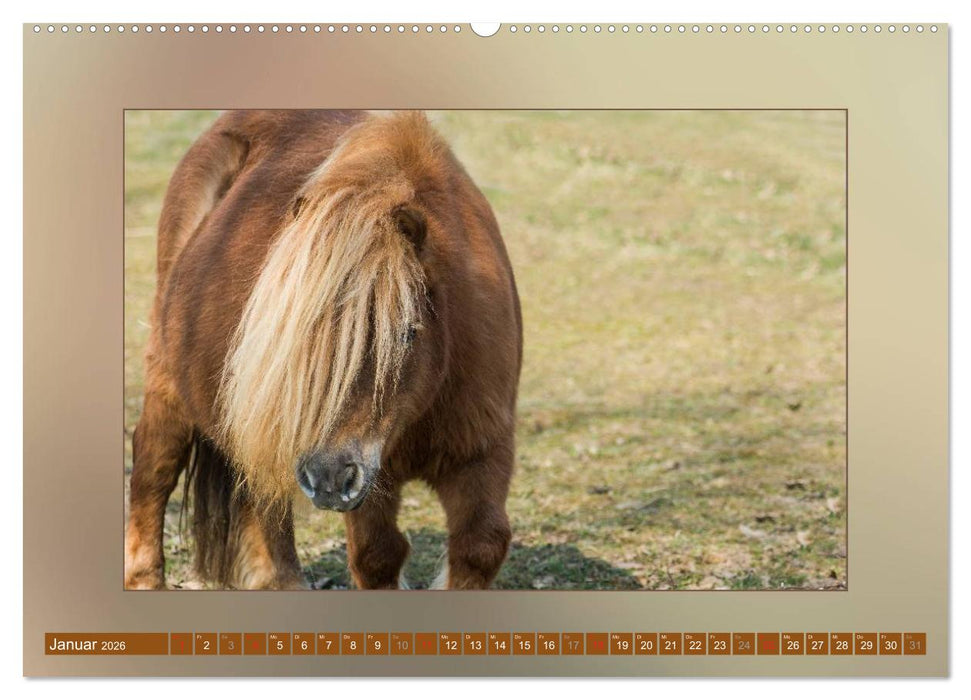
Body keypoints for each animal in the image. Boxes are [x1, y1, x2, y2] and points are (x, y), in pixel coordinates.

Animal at [124, 110, 522, 590]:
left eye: (408, 334)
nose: (329, 477)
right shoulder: (375, 476)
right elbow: (379, 555)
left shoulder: (483, 449)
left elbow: (482, 545)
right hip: (168, 382)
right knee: (154, 469)